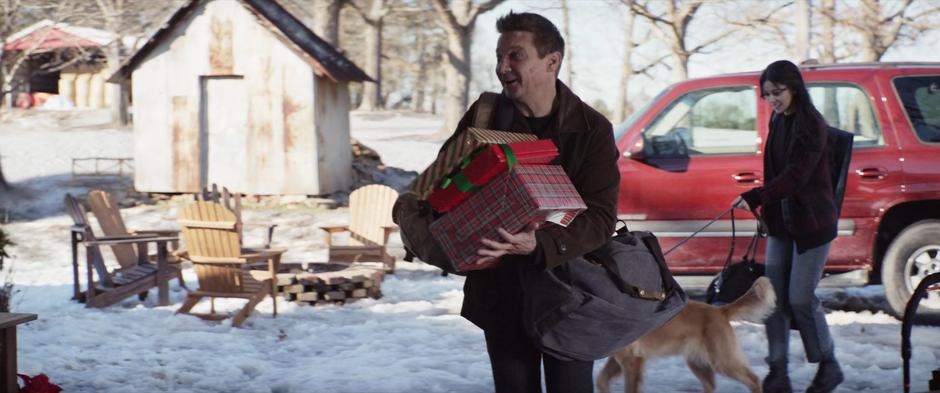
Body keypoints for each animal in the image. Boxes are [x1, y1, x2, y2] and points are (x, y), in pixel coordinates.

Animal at [600, 276, 776, 392]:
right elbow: (600, 379)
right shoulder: (619, 358)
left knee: (754, 380)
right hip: (697, 361)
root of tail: (720, 311)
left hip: (723, 361)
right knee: (710, 385)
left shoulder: (632, 360)